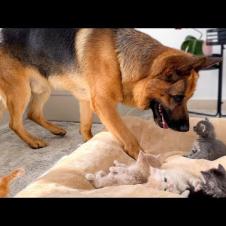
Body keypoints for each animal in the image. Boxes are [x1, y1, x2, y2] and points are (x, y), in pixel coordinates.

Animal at [0, 28, 222, 158]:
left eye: (188, 99)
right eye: (177, 97)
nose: (186, 129)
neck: (118, 56)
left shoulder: (86, 100)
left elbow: (86, 127)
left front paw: (89, 146)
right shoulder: (103, 103)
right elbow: (128, 136)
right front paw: (143, 160)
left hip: (42, 87)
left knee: (32, 113)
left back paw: (55, 130)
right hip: (21, 90)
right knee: (14, 122)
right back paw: (33, 141)